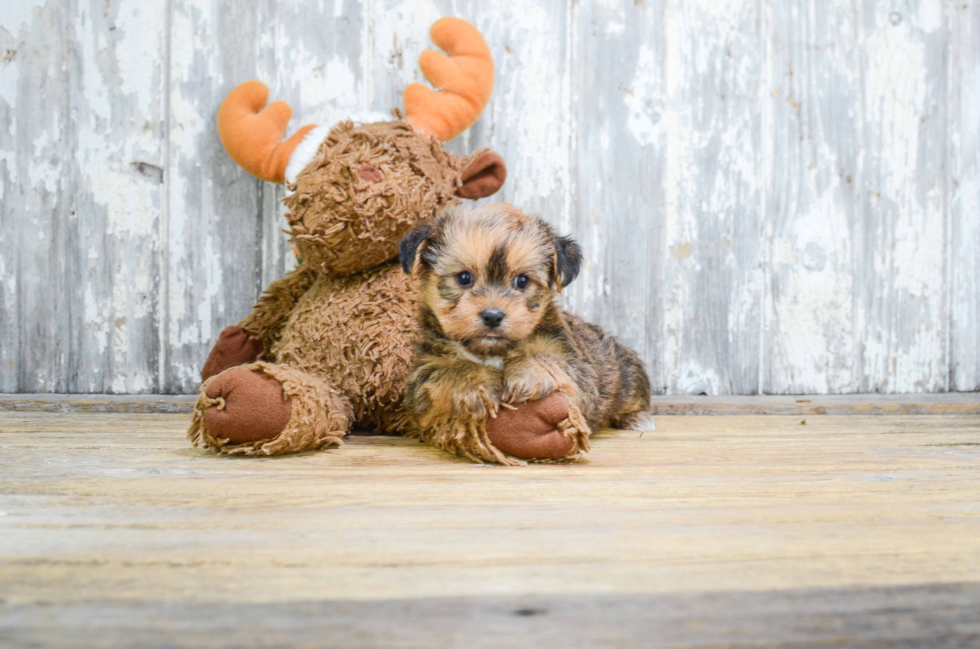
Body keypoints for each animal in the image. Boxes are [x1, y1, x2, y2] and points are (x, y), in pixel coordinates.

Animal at [398, 205, 652, 464]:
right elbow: (448, 371)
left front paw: (527, 372)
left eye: (522, 281)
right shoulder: (423, 378)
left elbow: (551, 361)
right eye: (464, 278)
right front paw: (476, 383)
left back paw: (637, 418)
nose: (492, 316)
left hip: (626, 375)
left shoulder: (577, 370)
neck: (493, 351)